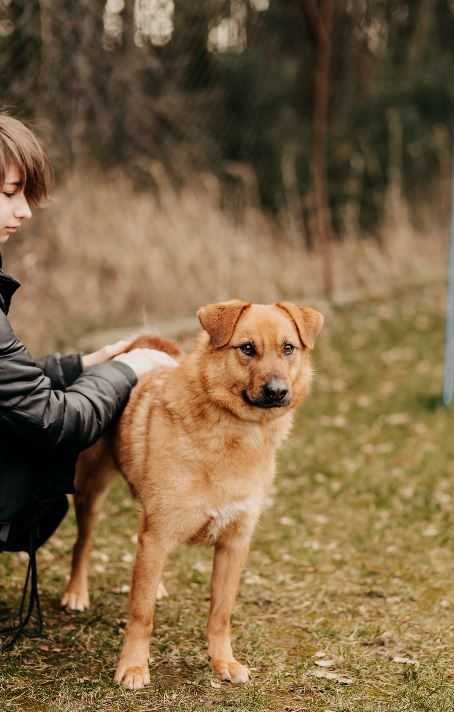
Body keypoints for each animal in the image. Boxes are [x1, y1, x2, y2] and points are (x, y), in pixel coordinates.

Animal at [61, 300, 322, 688]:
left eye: (288, 348)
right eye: (247, 348)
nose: (277, 390)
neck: (235, 434)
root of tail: (143, 343)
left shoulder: (233, 543)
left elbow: (220, 614)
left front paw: (222, 662)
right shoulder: (157, 534)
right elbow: (141, 615)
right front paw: (133, 666)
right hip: (91, 491)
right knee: (83, 543)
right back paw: (76, 592)